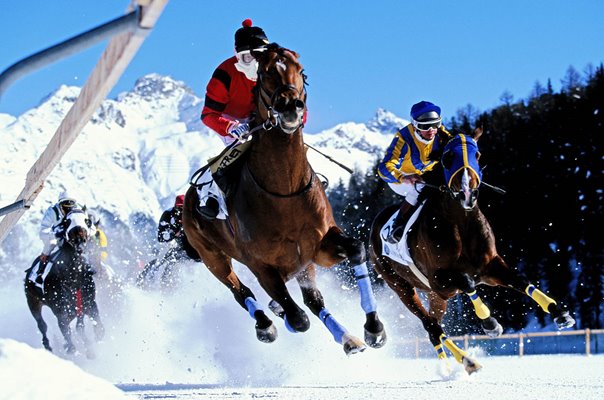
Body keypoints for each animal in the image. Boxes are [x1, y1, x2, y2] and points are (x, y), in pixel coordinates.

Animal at [24, 209, 104, 356]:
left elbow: (96, 326)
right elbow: (66, 329)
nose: (79, 238)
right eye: (67, 221)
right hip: (33, 302)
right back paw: (48, 346)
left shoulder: (89, 302)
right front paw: (72, 347)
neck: (74, 277)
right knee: (42, 325)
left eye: (86, 221)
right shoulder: (61, 310)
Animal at [183, 43, 386, 354]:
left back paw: (347, 338)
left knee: (312, 299)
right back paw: (266, 324)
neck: (284, 192)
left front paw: (374, 328)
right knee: (241, 291)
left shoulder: (317, 246)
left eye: (300, 71)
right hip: (212, 256)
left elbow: (354, 249)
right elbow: (299, 318)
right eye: (265, 73)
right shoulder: (260, 264)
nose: (290, 106)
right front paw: (283, 314)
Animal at [368, 129, 576, 376]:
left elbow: (520, 281)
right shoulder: (440, 279)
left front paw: (559, 312)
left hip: (436, 296)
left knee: (434, 327)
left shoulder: (489, 267)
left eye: (477, 154)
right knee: (431, 325)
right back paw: (466, 361)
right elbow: (467, 283)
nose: (468, 192)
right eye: (448, 157)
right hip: (402, 286)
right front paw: (490, 323)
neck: (462, 222)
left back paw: (453, 365)